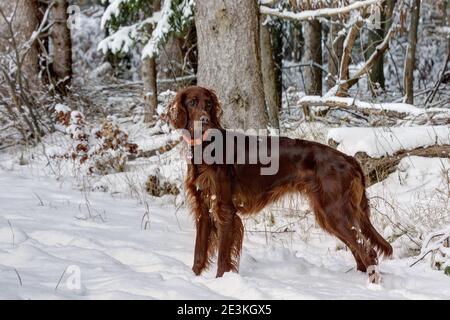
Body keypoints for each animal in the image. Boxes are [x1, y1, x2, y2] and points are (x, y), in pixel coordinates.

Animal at [164, 86, 390, 282]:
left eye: (209, 103)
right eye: (192, 102)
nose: (205, 121)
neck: (206, 148)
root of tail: (349, 159)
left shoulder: (224, 209)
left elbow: (222, 257)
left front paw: (221, 282)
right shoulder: (203, 208)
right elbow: (199, 253)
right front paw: (193, 279)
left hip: (334, 211)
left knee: (367, 250)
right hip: (329, 213)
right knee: (357, 250)